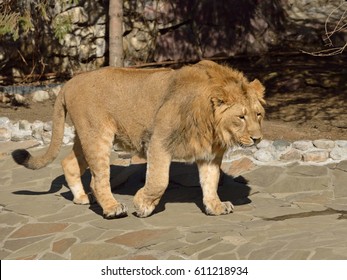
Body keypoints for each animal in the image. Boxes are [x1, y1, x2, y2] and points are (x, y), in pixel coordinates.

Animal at [11, 60, 266, 219]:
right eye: (241, 117)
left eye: (258, 114)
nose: (258, 139)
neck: (212, 127)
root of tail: (69, 83)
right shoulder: (159, 141)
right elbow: (159, 180)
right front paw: (142, 204)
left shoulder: (209, 154)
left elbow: (211, 181)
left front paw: (215, 206)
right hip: (97, 134)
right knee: (98, 179)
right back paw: (112, 208)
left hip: (84, 136)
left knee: (69, 163)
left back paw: (81, 198)